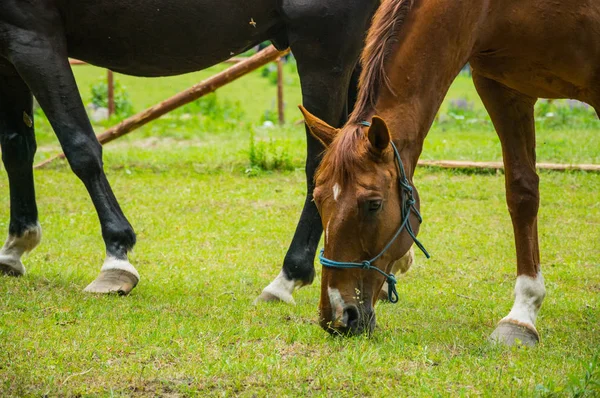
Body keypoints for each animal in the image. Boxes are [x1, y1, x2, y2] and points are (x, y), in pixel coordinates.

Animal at [0, 1, 378, 296]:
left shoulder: (33, 36)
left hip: (323, 50)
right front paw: (15, 246)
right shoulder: (10, 52)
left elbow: (80, 148)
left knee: (323, 160)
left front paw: (116, 257)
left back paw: (290, 275)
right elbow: (17, 146)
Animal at [304, 0, 600, 344]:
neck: (495, 10)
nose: (338, 316)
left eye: (373, 204)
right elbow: (522, 193)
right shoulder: (502, 89)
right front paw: (522, 315)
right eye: (317, 199)